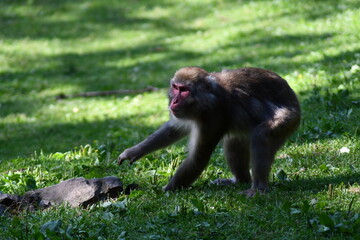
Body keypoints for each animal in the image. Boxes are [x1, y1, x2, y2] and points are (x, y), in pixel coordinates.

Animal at [118, 66, 300, 197]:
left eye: (184, 90)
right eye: (176, 87)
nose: (174, 101)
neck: (204, 99)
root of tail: (294, 99)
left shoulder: (212, 115)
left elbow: (198, 158)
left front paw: (166, 190)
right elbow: (173, 129)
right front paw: (134, 152)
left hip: (288, 119)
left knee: (262, 136)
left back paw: (259, 189)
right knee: (233, 142)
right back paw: (240, 180)